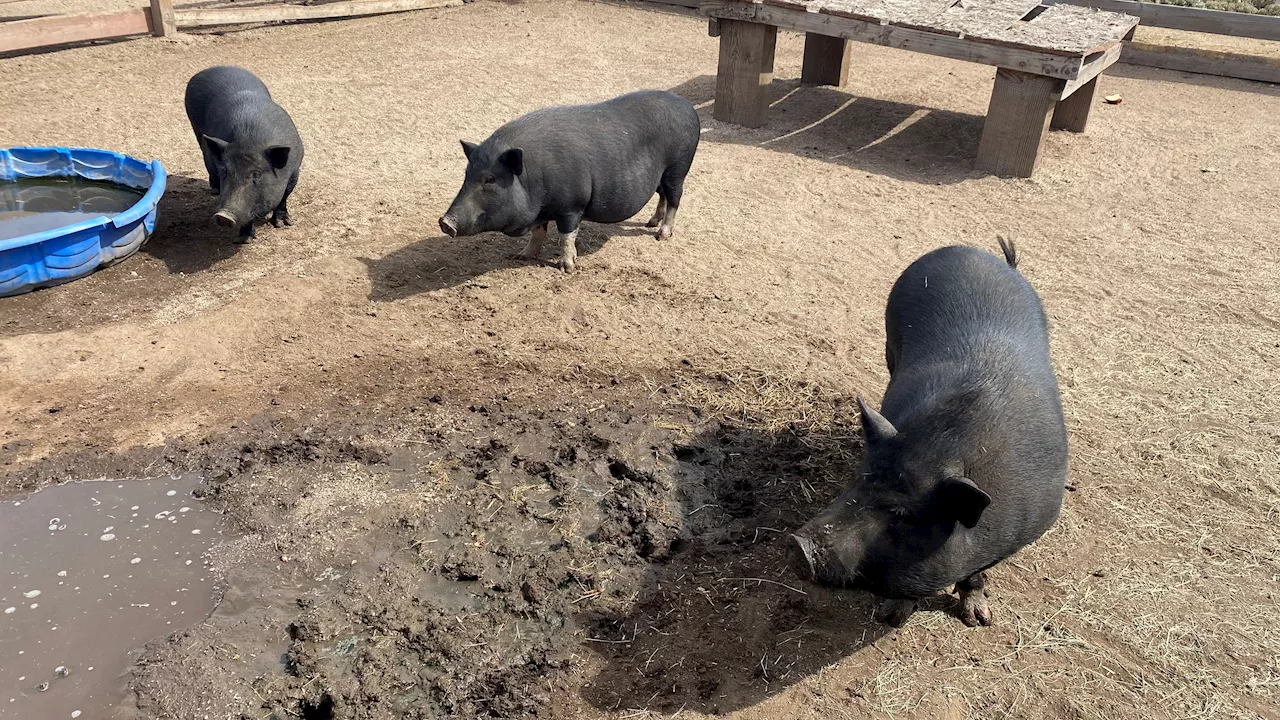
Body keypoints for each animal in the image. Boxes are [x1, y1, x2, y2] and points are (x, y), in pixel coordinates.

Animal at [184, 64, 303, 239]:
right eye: (225, 172)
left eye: (256, 174)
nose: (224, 216)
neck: (248, 138)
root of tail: (211, 68)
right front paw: (245, 239)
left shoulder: (295, 171)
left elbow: (284, 197)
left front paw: (282, 224)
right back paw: (214, 190)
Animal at [440, 89, 701, 269]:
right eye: (467, 174)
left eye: (491, 179)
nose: (445, 222)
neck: (533, 176)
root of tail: (687, 106)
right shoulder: (542, 211)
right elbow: (539, 233)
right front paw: (521, 256)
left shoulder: (572, 206)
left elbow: (566, 236)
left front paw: (567, 267)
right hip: (660, 176)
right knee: (662, 196)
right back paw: (650, 223)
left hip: (678, 168)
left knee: (675, 198)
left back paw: (661, 235)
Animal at [788, 238, 1070, 625]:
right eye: (859, 482)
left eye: (900, 513)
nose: (800, 545)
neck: (943, 444)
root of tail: (971, 251)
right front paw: (893, 616)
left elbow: (974, 574)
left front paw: (978, 620)